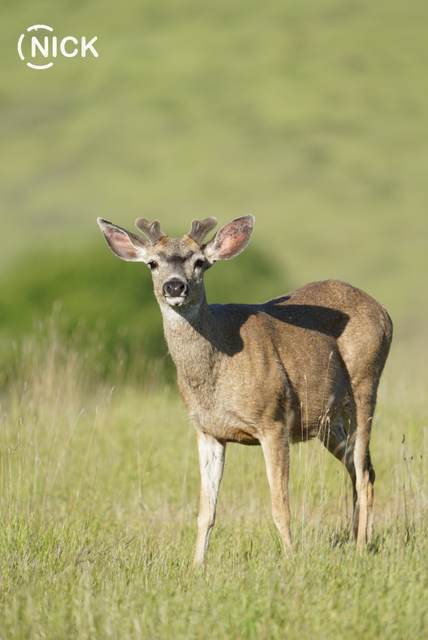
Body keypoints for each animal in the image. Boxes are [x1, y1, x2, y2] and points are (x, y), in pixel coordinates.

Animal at [97, 215, 392, 565]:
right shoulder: (207, 430)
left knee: (363, 471)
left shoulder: (273, 420)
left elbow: (280, 505)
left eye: (199, 262)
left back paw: (360, 548)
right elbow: (206, 510)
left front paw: (290, 559)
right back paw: (361, 539)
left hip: (366, 382)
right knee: (363, 470)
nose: (175, 286)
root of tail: (384, 312)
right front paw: (197, 566)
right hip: (326, 421)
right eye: (152, 263)